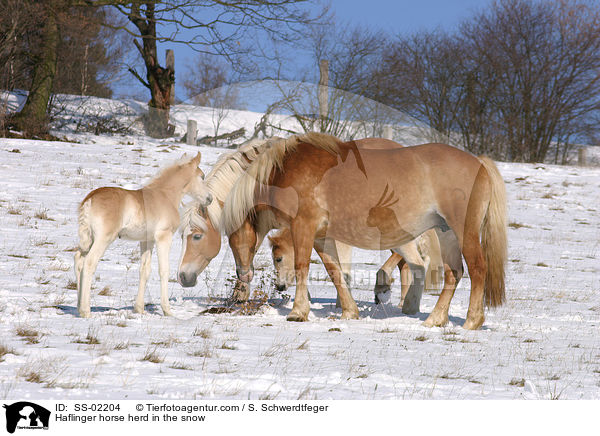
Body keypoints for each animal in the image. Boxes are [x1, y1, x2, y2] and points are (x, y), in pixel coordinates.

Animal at [74, 152, 212, 316]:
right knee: (89, 263)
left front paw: (139, 309)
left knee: (79, 260)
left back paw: (78, 307)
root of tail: (89, 200)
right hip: (103, 239)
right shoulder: (163, 237)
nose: (210, 198)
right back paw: (85, 311)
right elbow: (163, 270)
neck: (165, 195)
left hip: (88, 239)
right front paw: (167, 310)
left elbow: (144, 270)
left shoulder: (147, 241)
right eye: (202, 176)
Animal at [221, 133, 506, 330]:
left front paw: (298, 312)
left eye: (233, 240)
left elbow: (302, 266)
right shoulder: (322, 236)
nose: (242, 278)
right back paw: (435, 319)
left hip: (463, 232)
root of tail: (479, 163)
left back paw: (472, 321)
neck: (286, 171)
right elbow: (335, 271)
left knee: (477, 269)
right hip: (446, 233)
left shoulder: (303, 226)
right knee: (453, 272)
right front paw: (349, 311)